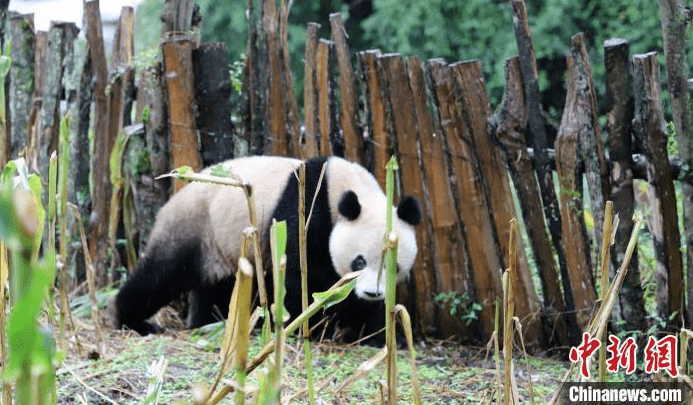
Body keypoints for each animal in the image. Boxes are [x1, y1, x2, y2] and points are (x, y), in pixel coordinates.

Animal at [112, 155, 422, 340]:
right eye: (359, 261)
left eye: (395, 266)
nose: (372, 293)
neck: (343, 186)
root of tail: (173, 199)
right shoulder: (305, 208)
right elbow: (302, 275)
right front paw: (311, 325)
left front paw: (376, 333)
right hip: (195, 224)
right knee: (162, 274)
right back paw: (131, 320)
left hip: (223, 243)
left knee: (218, 286)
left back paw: (209, 321)